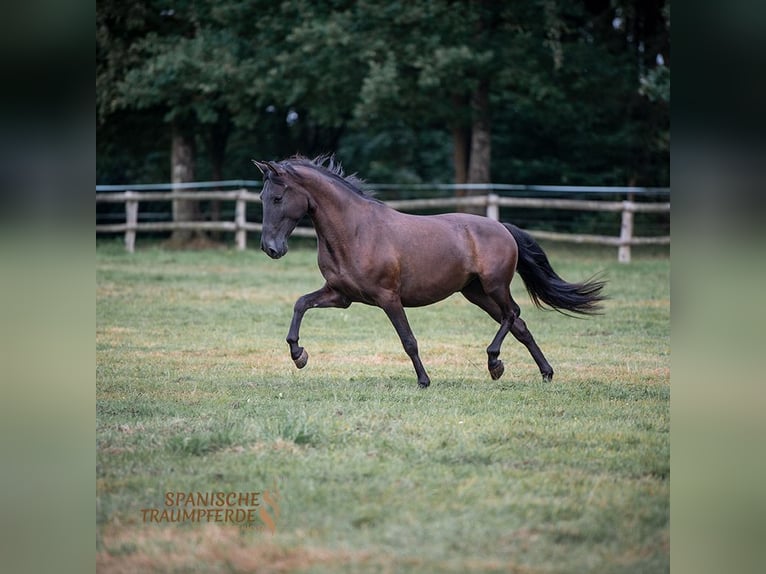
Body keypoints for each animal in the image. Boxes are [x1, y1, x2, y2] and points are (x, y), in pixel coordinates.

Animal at [252, 156, 608, 392]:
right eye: (261, 197)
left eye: (278, 197)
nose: (271, 248)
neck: (354, 231)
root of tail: (502, 227)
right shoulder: (341, 296)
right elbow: (300, 304)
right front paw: (299, 355)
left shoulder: (388, 297)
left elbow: (408, 340)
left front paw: (424, 380)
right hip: (476, 293)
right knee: (520, 325)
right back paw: (545, 373)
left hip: (495, 286)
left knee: (513, 314)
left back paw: (495, 363)